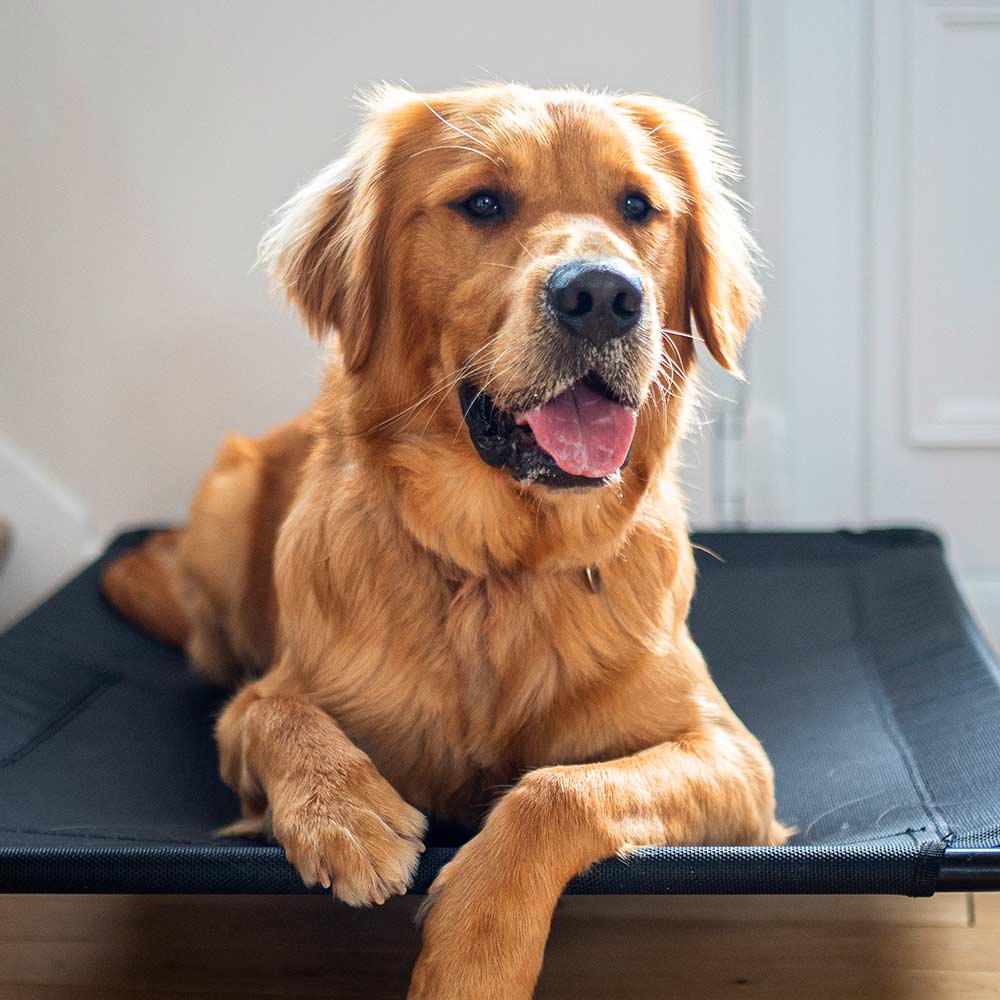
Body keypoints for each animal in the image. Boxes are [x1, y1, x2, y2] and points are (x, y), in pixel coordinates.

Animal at [103, 84, 788, 1000]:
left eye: (639, 207)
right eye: (484, 203)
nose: (602, 295)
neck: (501, 569)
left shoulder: (730, 755)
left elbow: (557, 791)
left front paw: (475, 950)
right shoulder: (265, 700)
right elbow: (273, 711)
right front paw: (344, 813)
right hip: (226, 497)